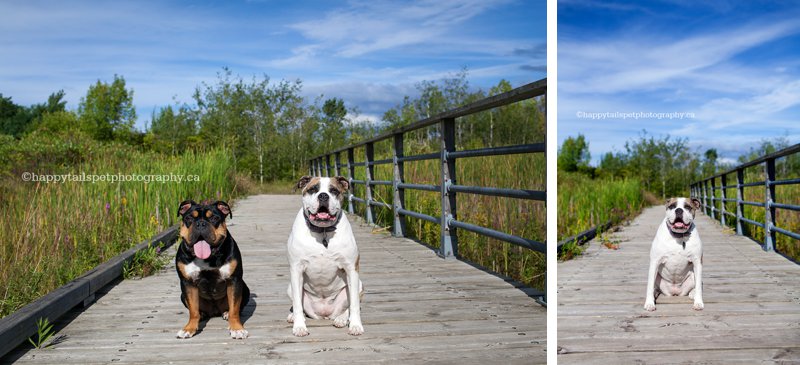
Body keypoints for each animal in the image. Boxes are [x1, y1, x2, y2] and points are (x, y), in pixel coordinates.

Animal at [175, 199, 250, 338]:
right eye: (189, 218)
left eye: (214, 218)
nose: (201, 224)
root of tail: (214, 311)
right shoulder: (187, 283)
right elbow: (193, 310)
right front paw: (189, 328)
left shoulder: (234, 281)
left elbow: (235, 308)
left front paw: (237, 329)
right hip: (182, 295)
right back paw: (202, 315)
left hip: (245, 288)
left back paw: (226, 313)